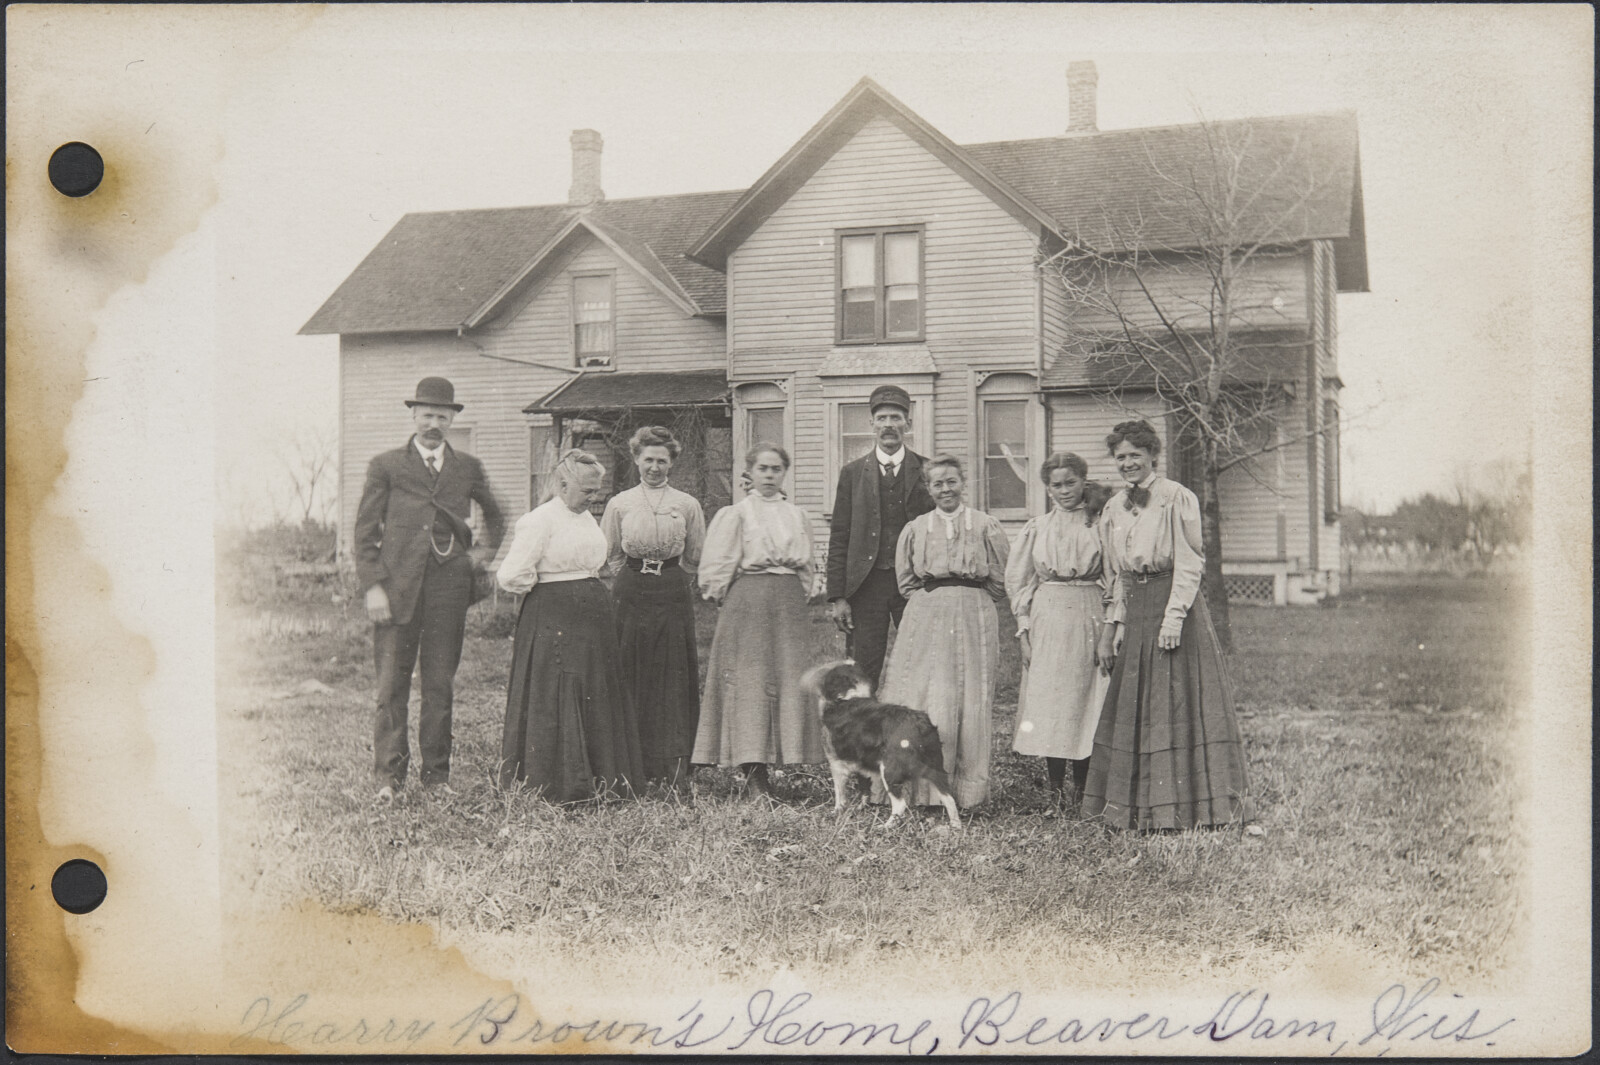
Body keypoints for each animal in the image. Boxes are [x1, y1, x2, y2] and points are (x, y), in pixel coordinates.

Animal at [800, 655, 960, 831]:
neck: (850, 698)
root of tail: (921, 725)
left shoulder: (836, 763)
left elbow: (840, 795)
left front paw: (837, 812)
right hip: (936, 770)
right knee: (949, 799)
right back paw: (956, 827)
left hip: (889, 771)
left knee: (900, 805)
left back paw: (884, 827)